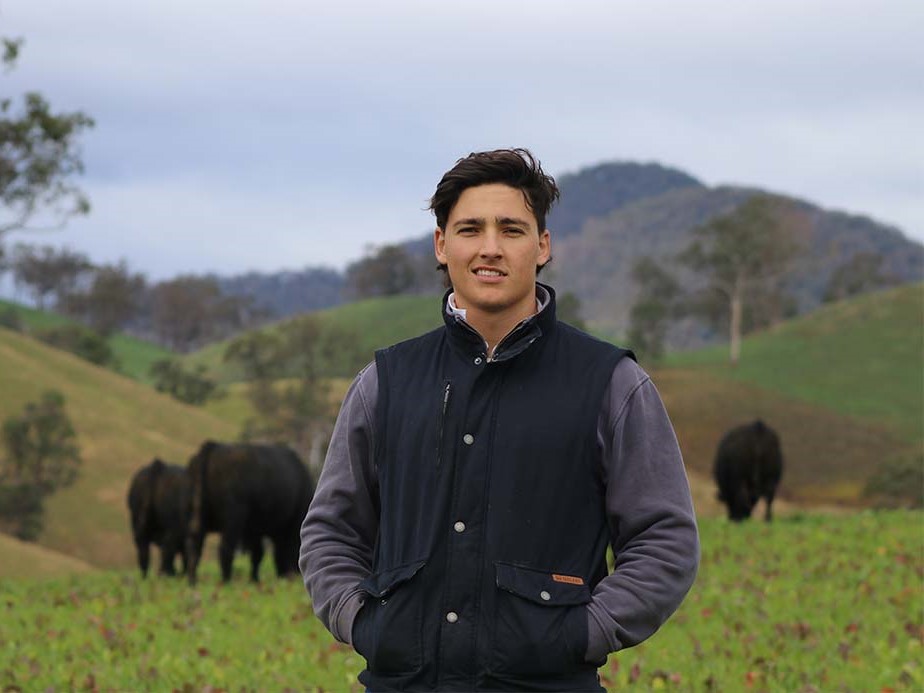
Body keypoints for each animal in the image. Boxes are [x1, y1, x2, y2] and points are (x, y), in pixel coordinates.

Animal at [184, 440, 314, 580]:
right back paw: (226, 580)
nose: (290, 574)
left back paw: (193, 580)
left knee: (194, 547)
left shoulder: (254, 530)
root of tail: (213, 446)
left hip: (196, 516)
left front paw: (254, 579)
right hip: (232, 521)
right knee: (225, 548)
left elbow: (258, 554)